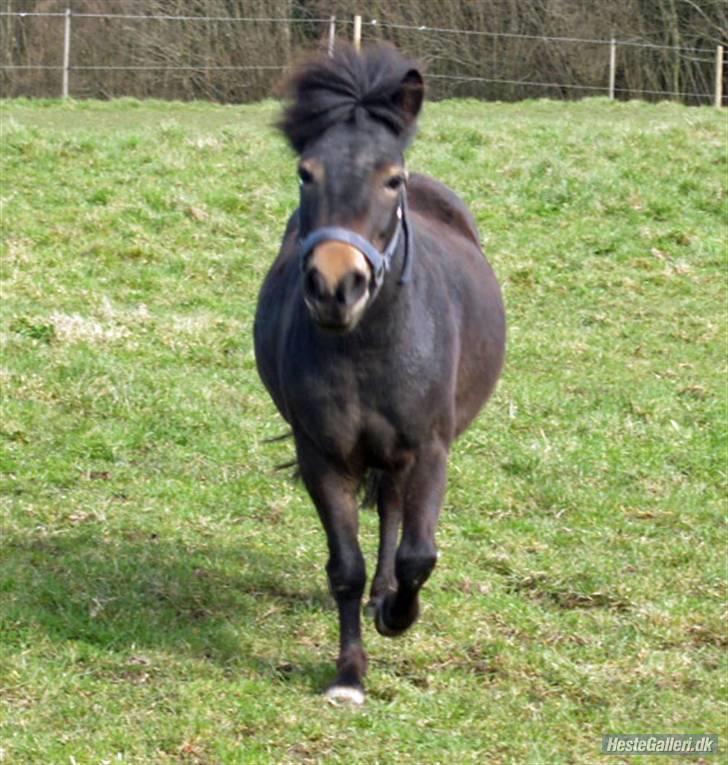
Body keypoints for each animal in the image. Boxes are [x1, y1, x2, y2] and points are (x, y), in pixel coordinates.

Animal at [253, 44, 504, 704]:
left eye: (393, 179)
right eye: (305, 173)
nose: (336, 286)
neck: (365, 346)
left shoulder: (429, 449)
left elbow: (419, 554)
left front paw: (396, 614)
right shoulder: (323, 455)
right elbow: (345, 566)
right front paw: (349, 675)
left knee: (394, 515)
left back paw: (387, 599)